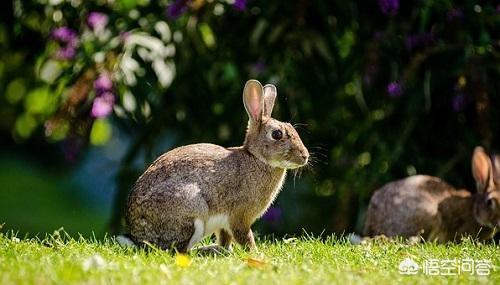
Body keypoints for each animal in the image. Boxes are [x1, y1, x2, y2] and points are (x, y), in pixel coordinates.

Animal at [124, 78, 308, 251]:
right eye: (277, 134)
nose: (305, 156)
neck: (256, 158)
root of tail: (137, 236)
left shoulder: (225, 224)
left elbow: (225, 237)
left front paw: (226, 250)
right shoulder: (239, 216)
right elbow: (244, 236)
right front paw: (255, 253)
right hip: (192, 209)